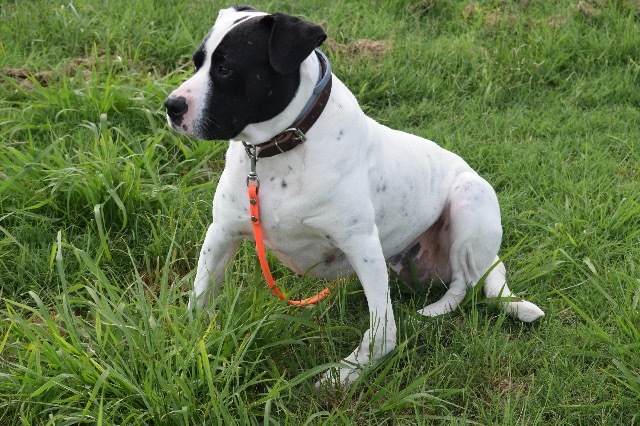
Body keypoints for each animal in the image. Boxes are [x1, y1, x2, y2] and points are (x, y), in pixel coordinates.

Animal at [162, 5, 544, 386]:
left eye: (226, 68)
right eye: (197, 62)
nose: (171, 105)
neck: (280, 151)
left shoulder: (362, 247)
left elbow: (382, 332)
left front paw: (345, 374)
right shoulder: (222, 233)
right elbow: (199, 301)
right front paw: (187, 347)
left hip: (469, 197)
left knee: (465, 285)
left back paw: (432, 313)